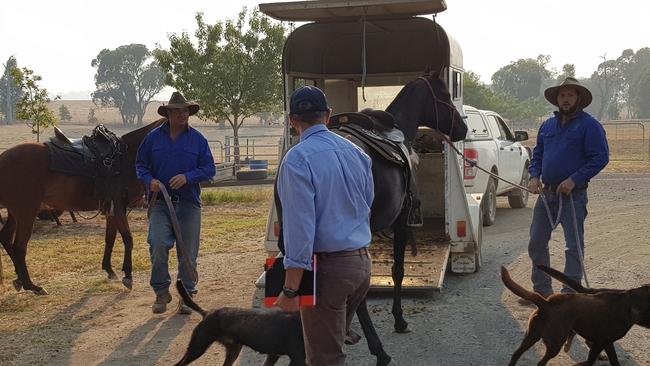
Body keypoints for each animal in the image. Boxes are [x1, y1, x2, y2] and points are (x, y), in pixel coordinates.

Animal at [0, 118, 162, 296]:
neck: (125, 157)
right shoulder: (119, 207)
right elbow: (128, 239)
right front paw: (128, 275)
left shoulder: (111, 209)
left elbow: (110, 239)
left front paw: (109, 270)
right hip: (26, 212)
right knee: (19, 247)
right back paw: (32, 285)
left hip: (16, 212)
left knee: (6, 237)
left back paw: (20, 280)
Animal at [502, 266, 648, 366]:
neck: (625, 303)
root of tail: (546, 303)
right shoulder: (602, 341)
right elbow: (591, 360)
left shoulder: (606, 342)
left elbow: (613, 359)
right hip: (554, 343)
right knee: (540, 362)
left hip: (531, 336)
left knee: (515, 354)